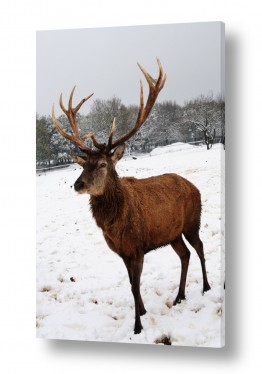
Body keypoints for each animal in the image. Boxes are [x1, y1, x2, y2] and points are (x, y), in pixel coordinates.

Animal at [51, 60, 211, 334]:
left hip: (193, 222)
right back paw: (179, 296)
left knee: (199, 247)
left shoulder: (137, 248)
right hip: (172, 233)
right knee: (185, 254)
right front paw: (143, 312)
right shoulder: (122, 252)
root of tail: (194, 187)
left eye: (103, 164)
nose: (77, 184)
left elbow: (135, 284)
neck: (116, 226)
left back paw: (206, 287)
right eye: (83, 165)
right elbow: (130, 284)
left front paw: (137, 325)